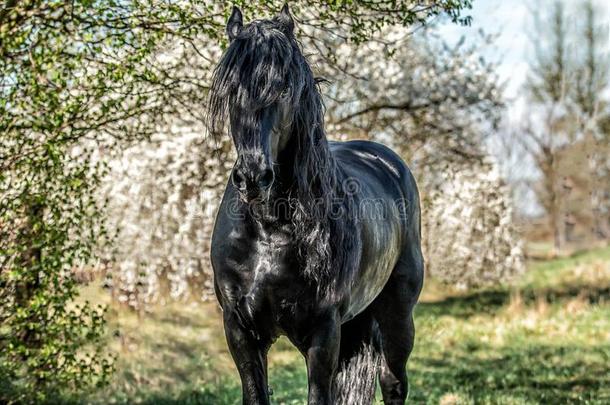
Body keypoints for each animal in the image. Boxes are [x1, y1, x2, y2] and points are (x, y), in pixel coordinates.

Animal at [209, 4, 422, 402]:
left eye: (283, 88)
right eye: (232, 89)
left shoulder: (323, 335)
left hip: (397, 318)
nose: (253, 177)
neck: (269, 231)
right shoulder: (241, 332)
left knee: (393, 381)